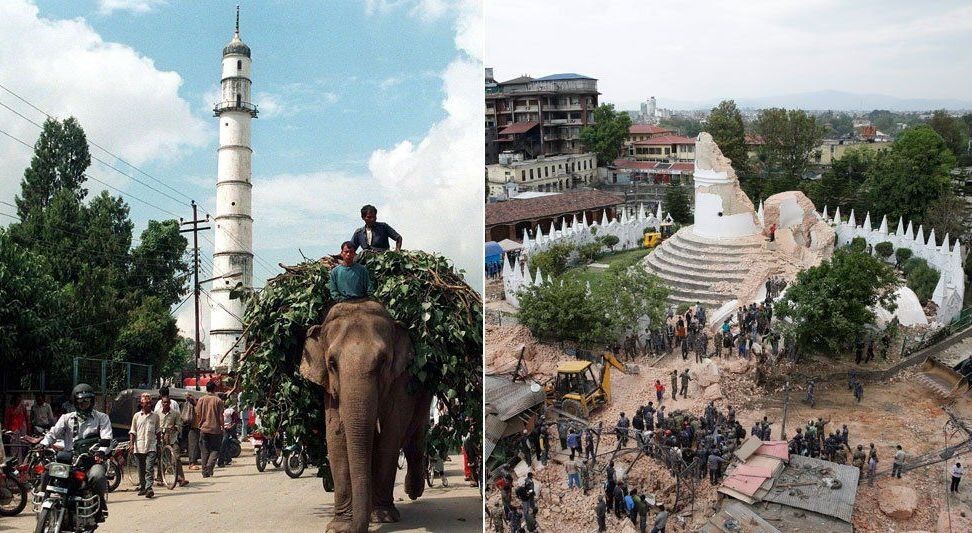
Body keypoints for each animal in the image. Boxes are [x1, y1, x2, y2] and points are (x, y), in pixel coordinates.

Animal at [298, 300, 430, 532]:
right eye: (332, 363)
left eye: (383, 361)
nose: (353, 528)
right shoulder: (331, 391)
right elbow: (336, 442)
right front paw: (338, 526)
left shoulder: (399, 383)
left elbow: (388, 441)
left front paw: (384, 518)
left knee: (416, 435)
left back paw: (412, 492)